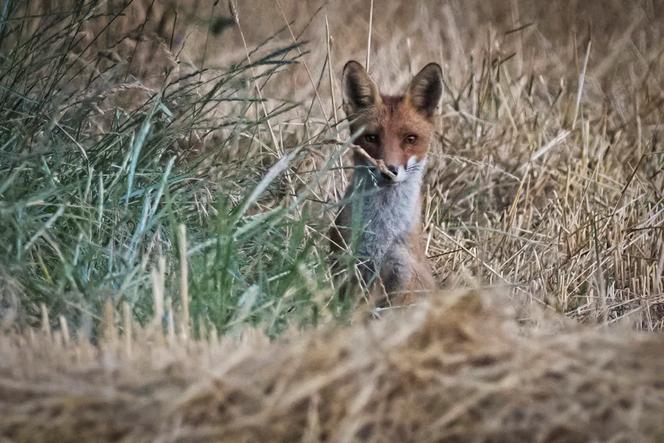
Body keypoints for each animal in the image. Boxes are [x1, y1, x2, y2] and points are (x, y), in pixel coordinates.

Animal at [330, 60, 443, 306]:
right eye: (371, 138)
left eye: (411, 139)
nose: (389, 171)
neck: (381, 234)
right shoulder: (352, 265)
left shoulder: (402, 271)